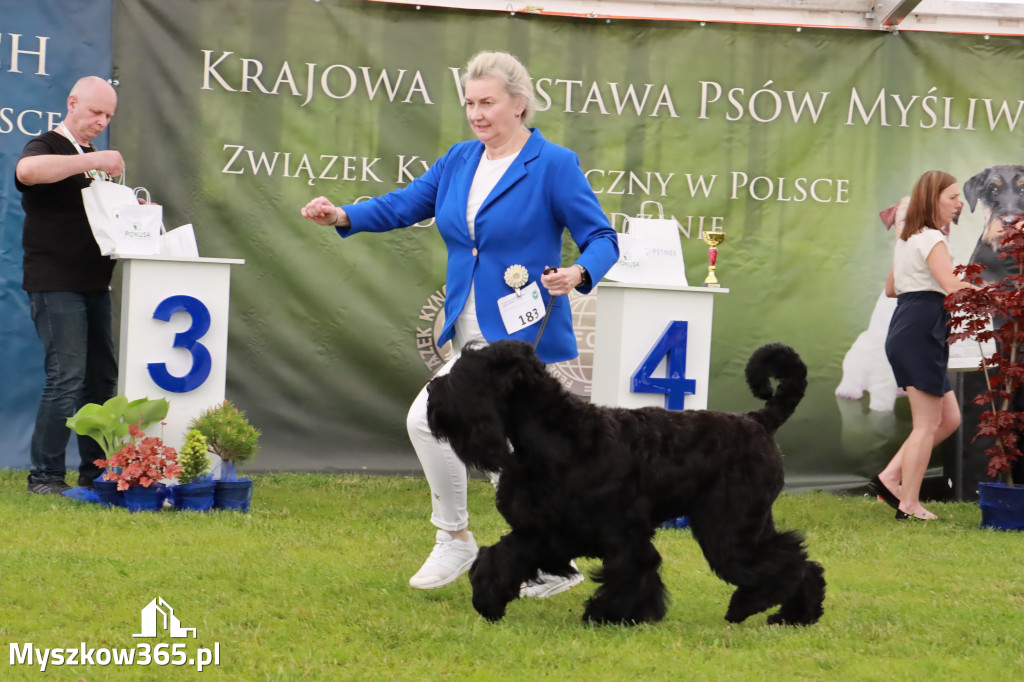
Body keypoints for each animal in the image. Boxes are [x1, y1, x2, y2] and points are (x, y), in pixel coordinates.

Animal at [423, 337, 823, 622]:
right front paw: (487, 598)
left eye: (463, 374)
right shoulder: (546, 530)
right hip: (749, 523)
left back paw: (747, 606)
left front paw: (610, 614)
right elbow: (502, 555)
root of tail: (759, 421)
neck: (561, 434)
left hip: (730, 528)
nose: (430, 391)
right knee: (797, 560)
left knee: (779, 562)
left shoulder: (620, 532)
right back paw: (796, 615)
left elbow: (633, 570)